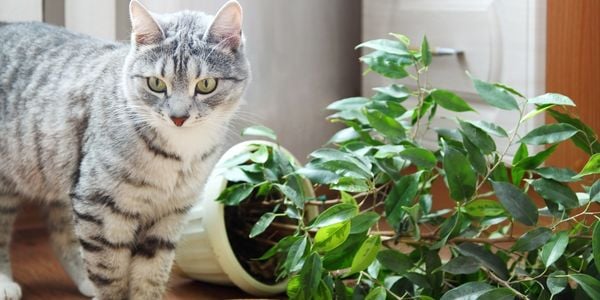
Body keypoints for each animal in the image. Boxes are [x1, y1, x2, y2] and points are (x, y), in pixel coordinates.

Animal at [0, 0, 250, 298]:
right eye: (156, 83)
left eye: (206, 85)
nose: (178, 118)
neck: (178, 153)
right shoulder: (100, 206)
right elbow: (108, 271)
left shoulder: (170, 214)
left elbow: (150, 274)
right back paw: (5, 283)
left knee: (62, 234)